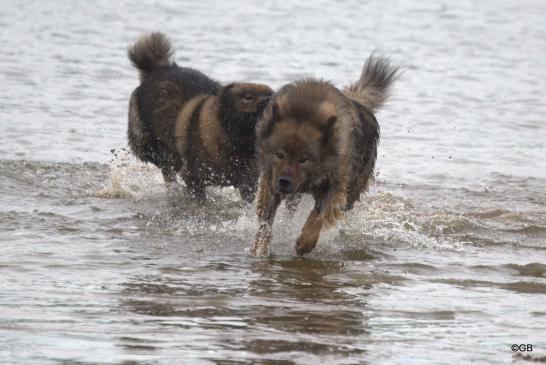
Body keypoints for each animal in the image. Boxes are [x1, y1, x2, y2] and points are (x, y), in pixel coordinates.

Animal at [126, 32, 272, 200]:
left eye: (271, 95)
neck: (235, 142)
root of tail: (157, 69)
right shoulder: (194, 177)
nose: (269, 100)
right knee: (165, 166)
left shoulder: (249, 181)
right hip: (146, 143)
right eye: (248, 97)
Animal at [249, 54, 398, 255]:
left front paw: (305, 242)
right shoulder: (271, 180)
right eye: (279, 154)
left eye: (303, 159)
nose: (284, 181)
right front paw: (261, 248)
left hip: (352, 190)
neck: (306, 111)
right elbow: (266, 220)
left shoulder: (333, 185)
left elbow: (319, 216)